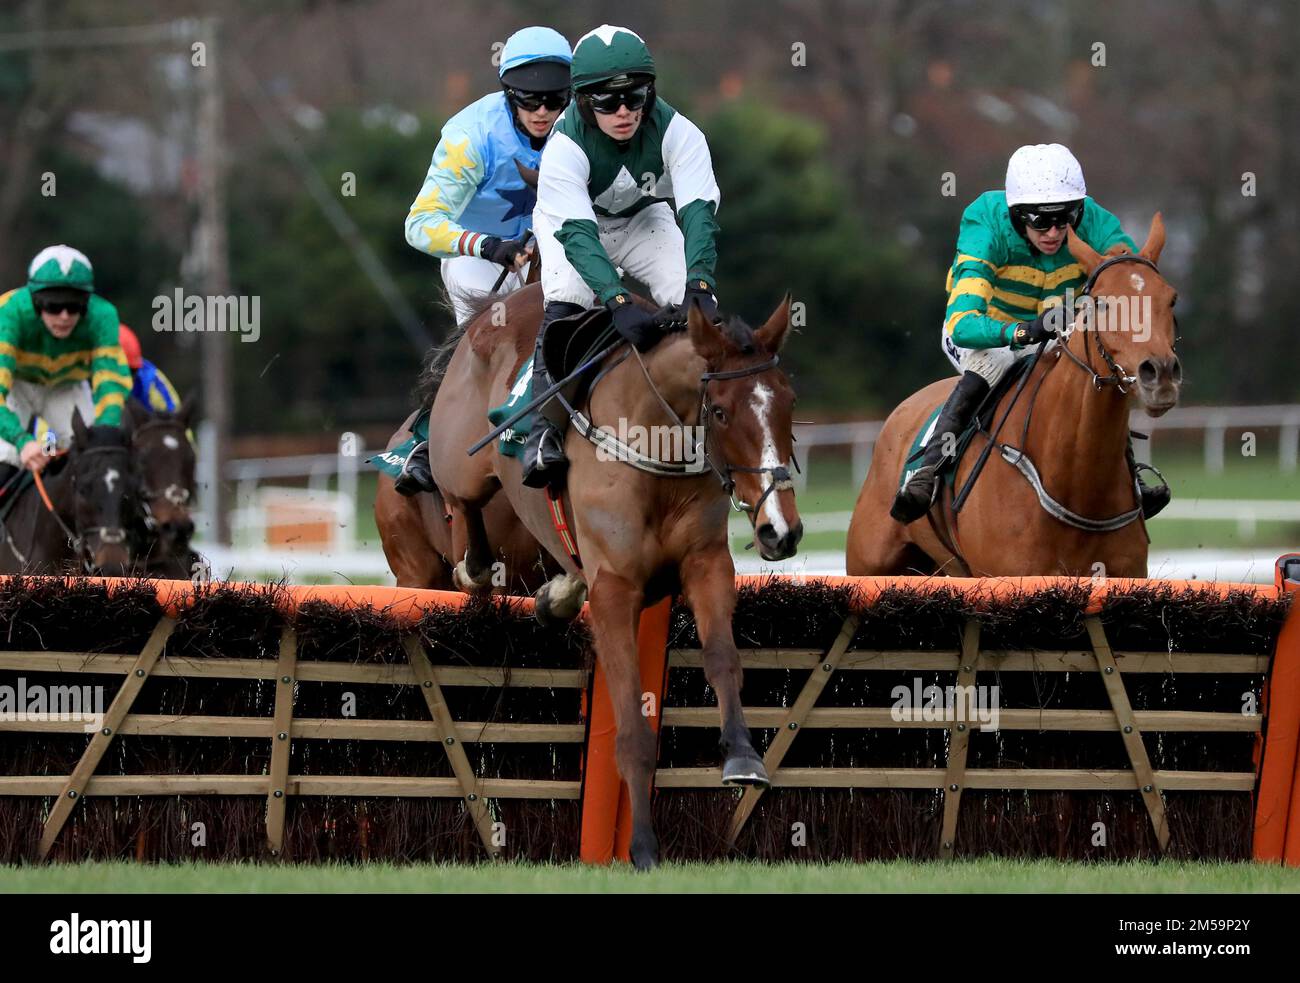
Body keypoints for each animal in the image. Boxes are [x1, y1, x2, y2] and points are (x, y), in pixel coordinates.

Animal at [426, 284, 800, 868]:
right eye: (719, 411)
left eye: (788, 403)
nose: (780, 531)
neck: (657, 445)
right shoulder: (616, 593)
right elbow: (631, 732)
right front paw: (643, 848)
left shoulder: (707, 563)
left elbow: (723, 659)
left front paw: (742, 755)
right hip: (459, 466)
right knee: (463, 513)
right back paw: (479, 564)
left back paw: (558, 591)